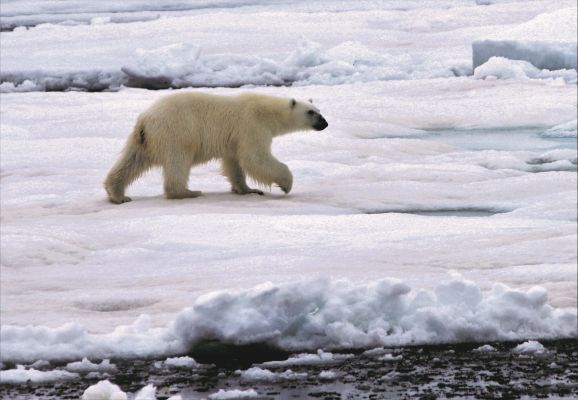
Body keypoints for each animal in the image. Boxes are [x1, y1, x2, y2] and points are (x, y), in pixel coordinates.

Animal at [103, 91, 326, 203]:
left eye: (319, 109)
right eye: (310, 112)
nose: (325, 123)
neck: (266, 112)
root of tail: (145, 120)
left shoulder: (234, 140)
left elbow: (234, 163)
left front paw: (249, 189)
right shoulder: (251, 126)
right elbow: (255, 158)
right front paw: (286, 184)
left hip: (142, 140)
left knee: (131, 161)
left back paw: (118, 194)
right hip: (177, 133)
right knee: (178, 161)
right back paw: (188, 192)